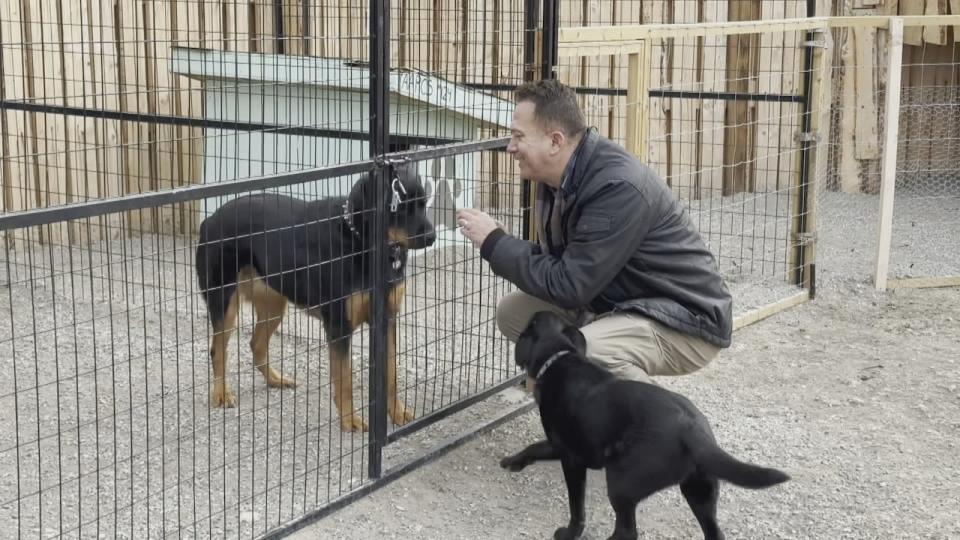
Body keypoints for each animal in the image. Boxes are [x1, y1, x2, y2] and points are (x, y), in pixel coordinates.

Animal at [195, 162, 436, 432]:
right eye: (400, 206)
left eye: (423, 203)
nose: (432, 237)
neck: (361, 241)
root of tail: (208, 220)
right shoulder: (339, 327)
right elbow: (344, 379)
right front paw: (350, 420)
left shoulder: (387, 320)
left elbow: (391, 374)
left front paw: (396, 412)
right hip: (225, 304)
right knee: (218, 350)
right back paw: (221, 394)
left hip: (273, 305)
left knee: (256, 345)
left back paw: (276, 380)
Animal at [502, 310, 788, 540]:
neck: (559, 358)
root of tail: (692, 431)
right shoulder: (560, 446)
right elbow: (534, 447)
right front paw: (513, 461)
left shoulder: (571, 457)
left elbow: (576, 507)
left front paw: (570, 532)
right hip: (699, 489)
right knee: (714, 533)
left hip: (621, 481)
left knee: (627, 531)